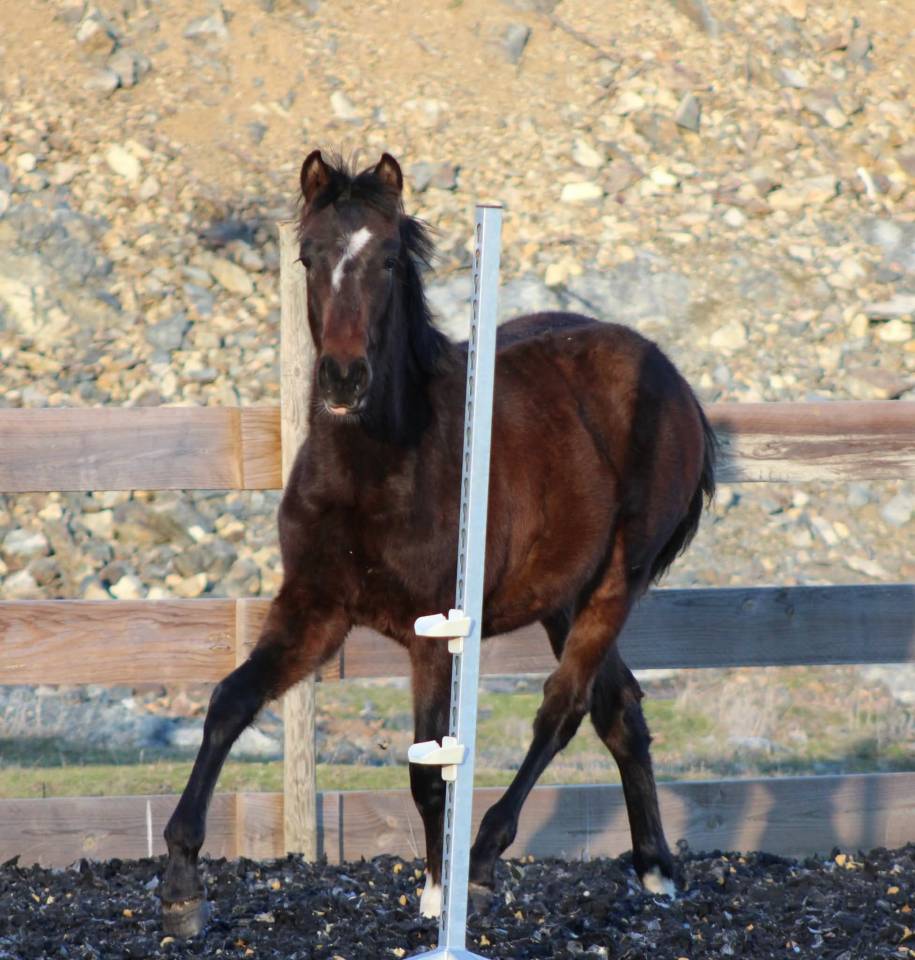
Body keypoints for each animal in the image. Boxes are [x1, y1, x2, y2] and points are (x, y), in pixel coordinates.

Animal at [161, 150, 716, 937]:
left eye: (389, 260)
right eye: (308, 255)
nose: (343, 378)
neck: (374, 469)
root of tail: (672, 380)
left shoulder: (432, 633)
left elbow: (429, 770)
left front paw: (435, 891)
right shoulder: (313, 609)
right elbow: (229, 702)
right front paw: (181, 886)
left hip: (617, 581)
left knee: (563, 706)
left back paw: (482, 863)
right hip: (562, 596)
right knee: (621, 710)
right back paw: (655, 870)